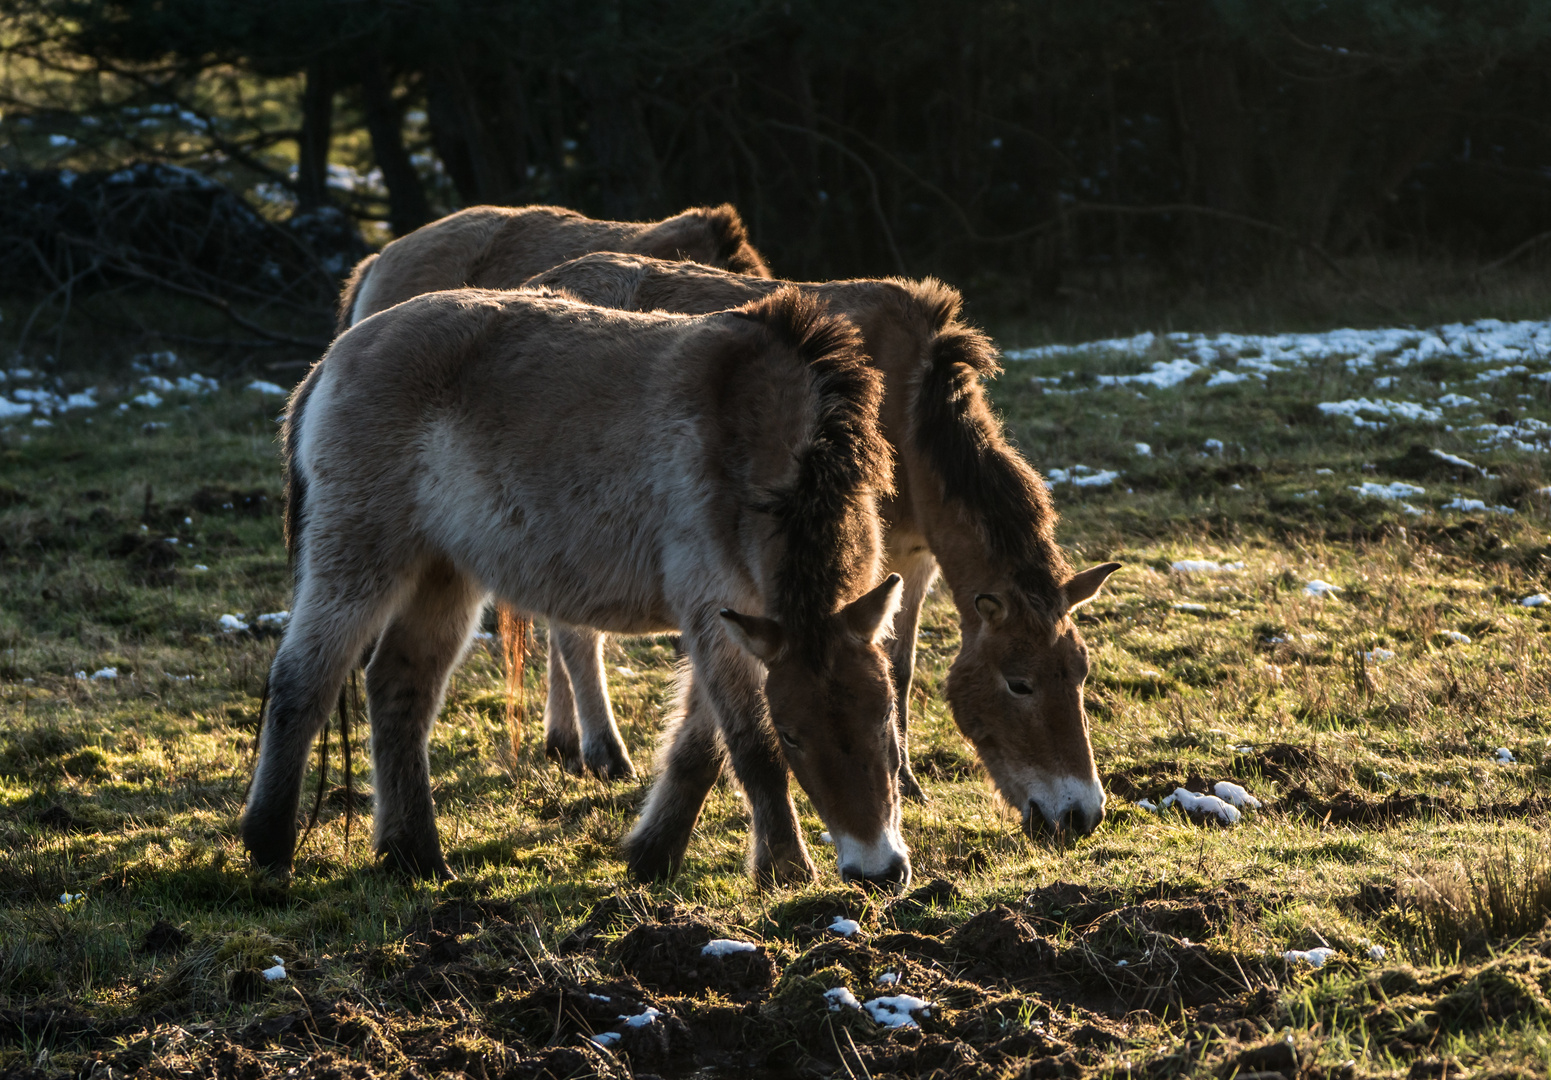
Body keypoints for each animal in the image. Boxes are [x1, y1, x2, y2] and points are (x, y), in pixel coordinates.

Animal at [245, 287, 905, 887]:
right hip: (358, 563)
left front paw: (652, 855)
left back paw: (413, 857)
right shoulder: (716, 616)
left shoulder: (737, 622)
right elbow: (750, 747)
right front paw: (785, 869)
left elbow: (700, 747)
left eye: (884, 717)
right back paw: (270, 843)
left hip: (443, 572)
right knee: (303, 682)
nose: (877, 870)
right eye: (794, 733)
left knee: (399, 687)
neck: (759, 441)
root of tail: (332, 360)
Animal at [527, 254, 1122, 844]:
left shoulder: (914, 562)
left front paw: (904, 780)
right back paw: (603, 752)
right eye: (1019, 684)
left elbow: (899, 669)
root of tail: (546, 279)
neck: (907, 406)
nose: (1081, 815)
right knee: (575, 637)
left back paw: (564, 742)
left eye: (1080, 673)